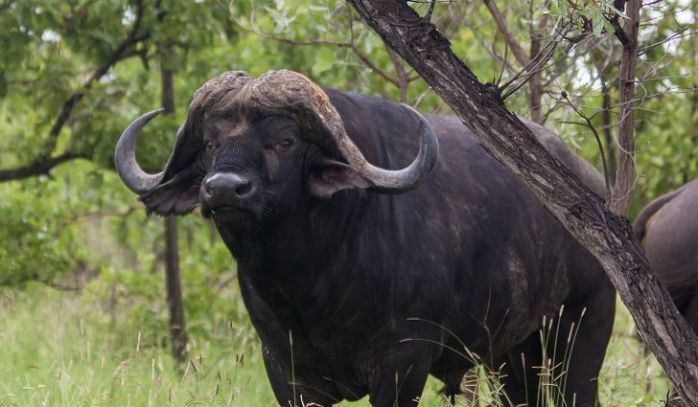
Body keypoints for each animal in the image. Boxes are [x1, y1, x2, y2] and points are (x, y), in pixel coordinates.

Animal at [114, 70, 614, 406]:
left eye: (285, 140)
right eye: (211, 143)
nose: (222, 189)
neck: (311, 288)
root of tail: (595, 188)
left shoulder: (402, 365)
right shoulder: (285, 371)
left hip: (582, 331)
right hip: (512, 354)